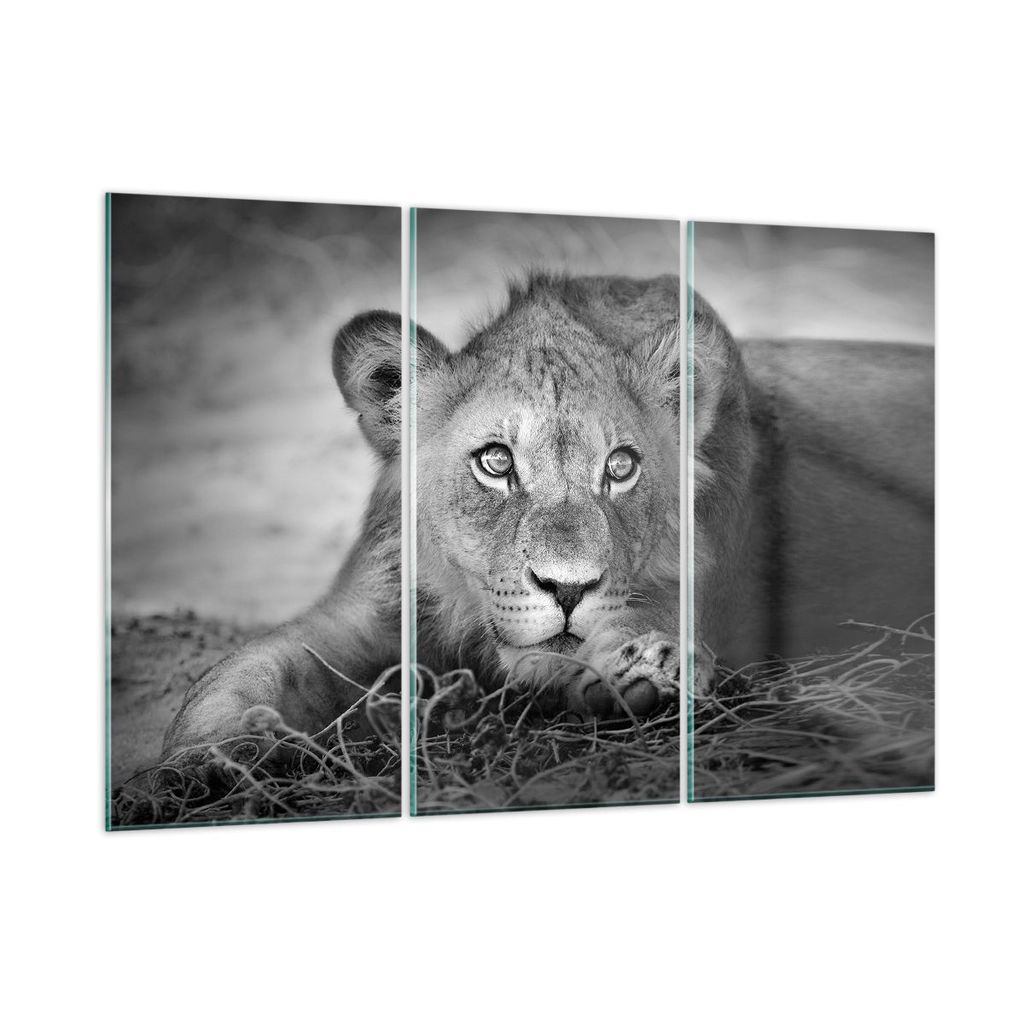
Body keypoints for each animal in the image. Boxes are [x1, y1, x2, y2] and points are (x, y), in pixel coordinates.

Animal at [161, 272, 682, 761]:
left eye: (620, 467)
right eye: (496, 462)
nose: (569, 589)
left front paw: (639, 670)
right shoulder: (360, 614)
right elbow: (242, 673)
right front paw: (198, 761)